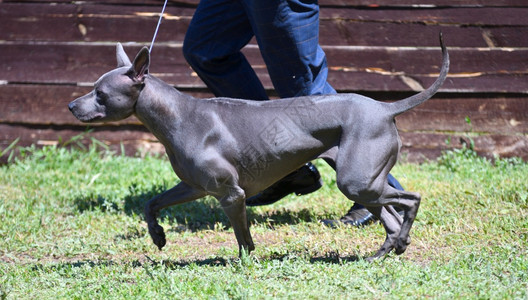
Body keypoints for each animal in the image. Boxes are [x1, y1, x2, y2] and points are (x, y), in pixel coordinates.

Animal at [69, 34, 450, 260]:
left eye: (100, 94)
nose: (72, 105)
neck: (177, 116)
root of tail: (386, 108)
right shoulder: (193, 186)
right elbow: (151, 204)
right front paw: (159, 237)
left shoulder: (231, 195)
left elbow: (242, 237)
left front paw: (245, 263)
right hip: (364, 184)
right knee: (389, 217)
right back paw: (387, 251)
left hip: (356, 181)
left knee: (410, 201)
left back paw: (400, 240)